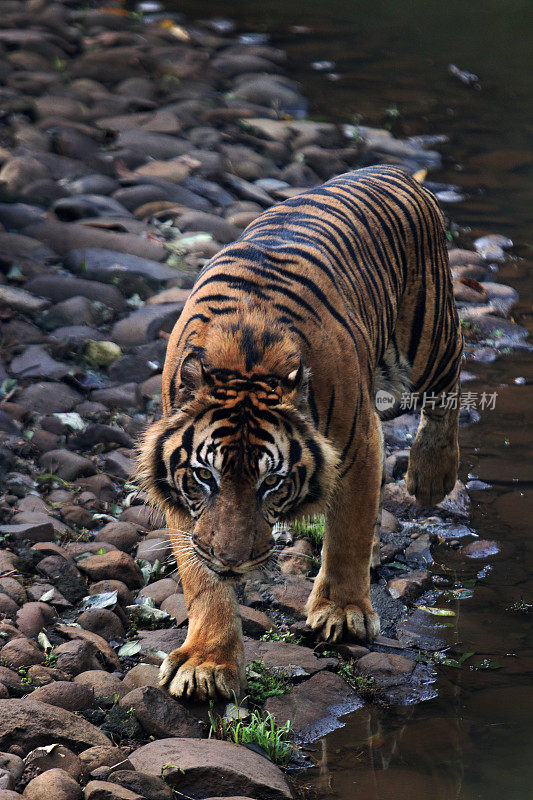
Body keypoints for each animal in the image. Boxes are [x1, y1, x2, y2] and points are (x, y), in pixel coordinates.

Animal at [137, 164, 462, 700]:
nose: (232, 561)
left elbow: (348, 530)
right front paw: (207, 662)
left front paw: (344, 612)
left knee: (449, 393)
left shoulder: (358, 444)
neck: (244, 359)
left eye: (272, 482)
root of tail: (393, 169)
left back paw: (432, 478)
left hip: (427, 344)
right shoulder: (184, 495)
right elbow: (201, 580)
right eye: (205, 477)